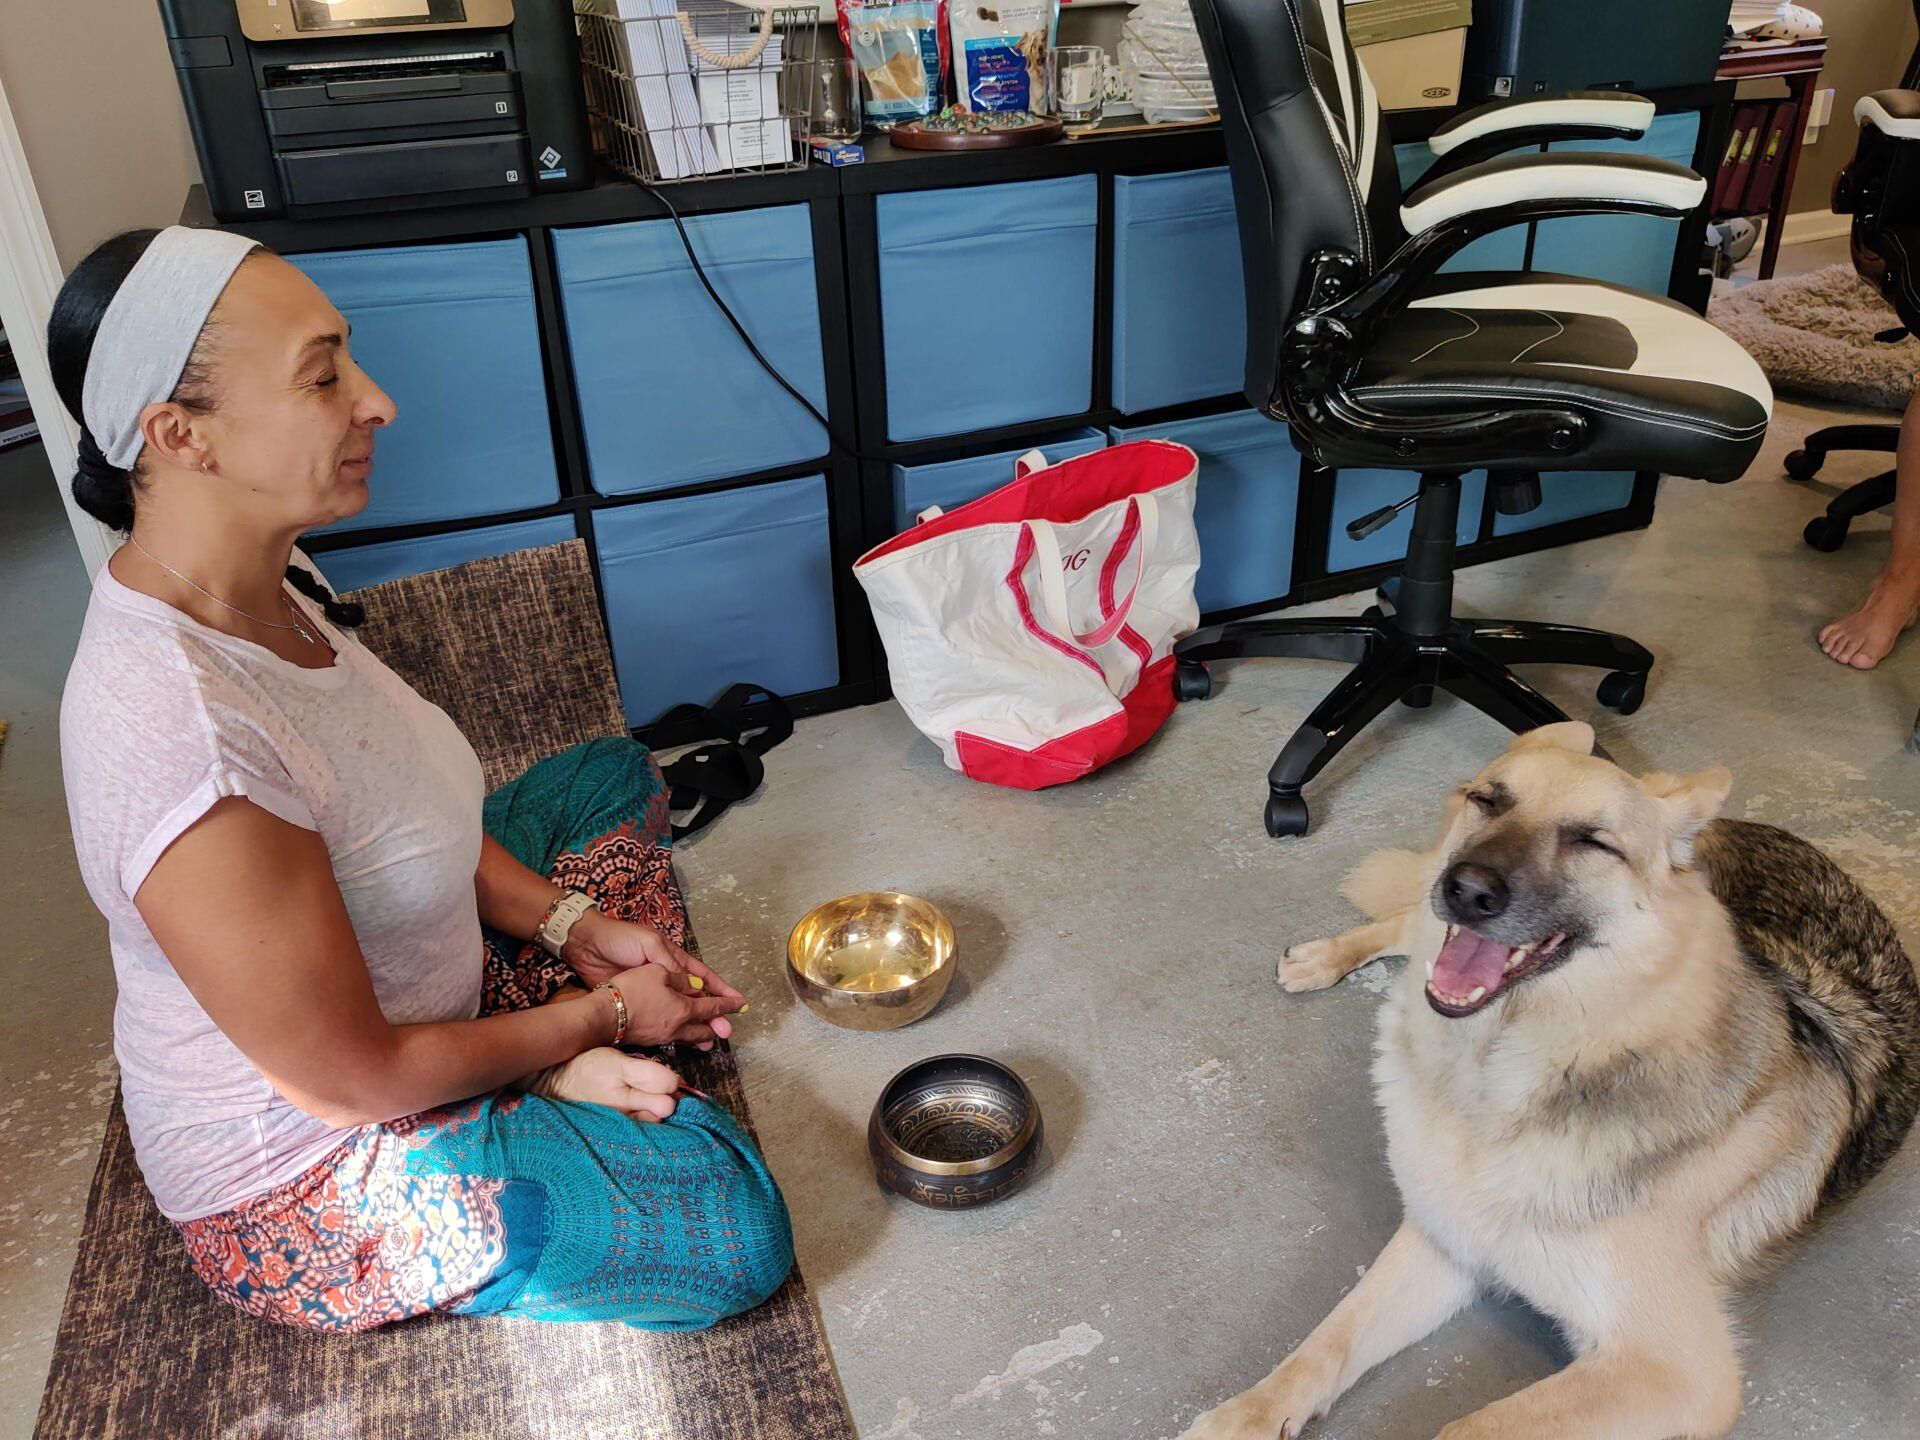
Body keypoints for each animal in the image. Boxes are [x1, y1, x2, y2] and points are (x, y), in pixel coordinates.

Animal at [1182, 725, 1920, 1436]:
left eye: (1592, 841)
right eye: (1490, 800)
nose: (1468, 890)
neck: (1499, 1074)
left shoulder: (1672, 1371)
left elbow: (1467, 1427)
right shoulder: (1441, 1239)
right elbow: (1324, 1345)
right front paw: (1244, 1416)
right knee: (1407, 917)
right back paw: (1325, 956)